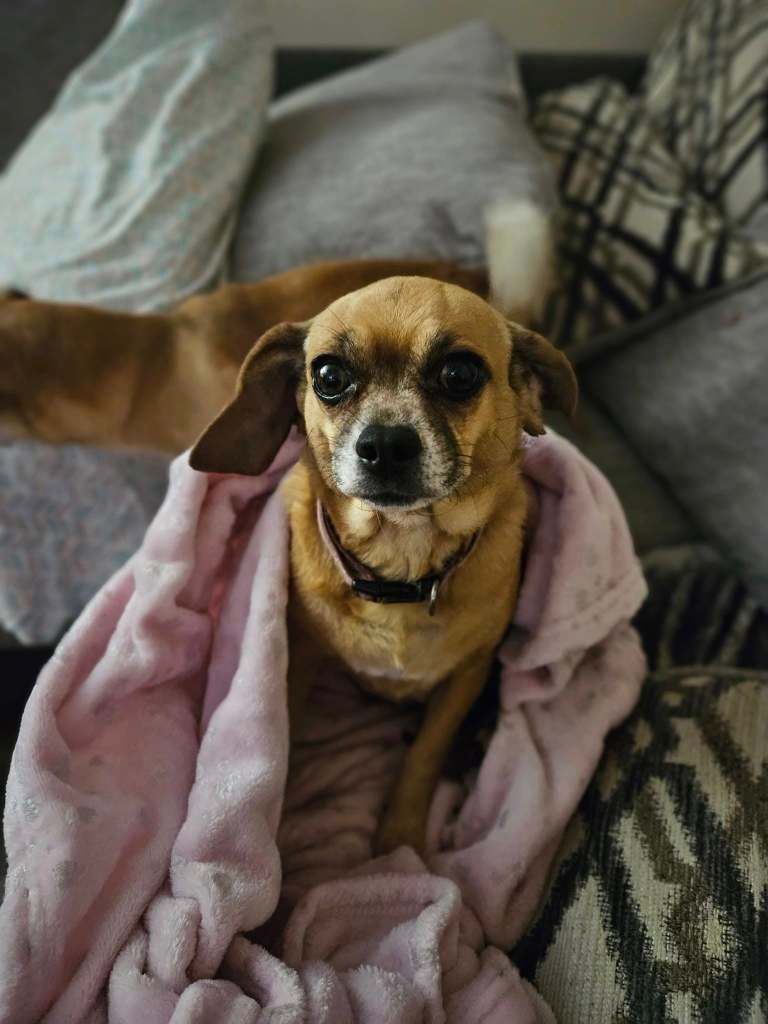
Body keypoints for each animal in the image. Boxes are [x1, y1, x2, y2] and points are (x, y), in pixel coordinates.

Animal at [189, 266, 576, 855]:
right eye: (328, 374)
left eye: (459, 373)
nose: (387, 444)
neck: (401, 565)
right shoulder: (299, 657)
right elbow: (286, 733)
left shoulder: (466, 676)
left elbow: (424, 755)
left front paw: (400, 838)